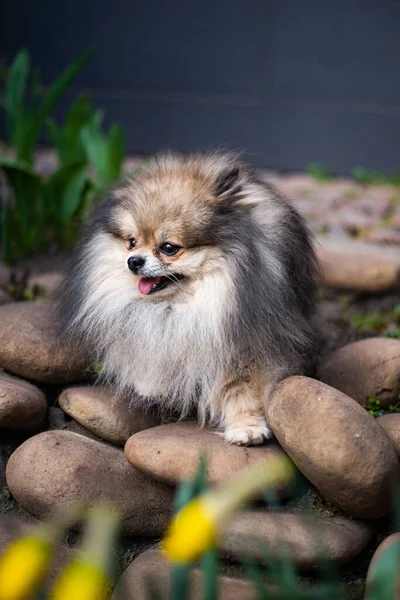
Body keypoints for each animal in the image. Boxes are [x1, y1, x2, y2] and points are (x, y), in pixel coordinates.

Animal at [59, 152, 318, 446]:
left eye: (169, 248)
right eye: (132, 242)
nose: (133, 261)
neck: (181, 305)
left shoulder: (246, 341)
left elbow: (242, 386)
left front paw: (246, 427)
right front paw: (149, 384)